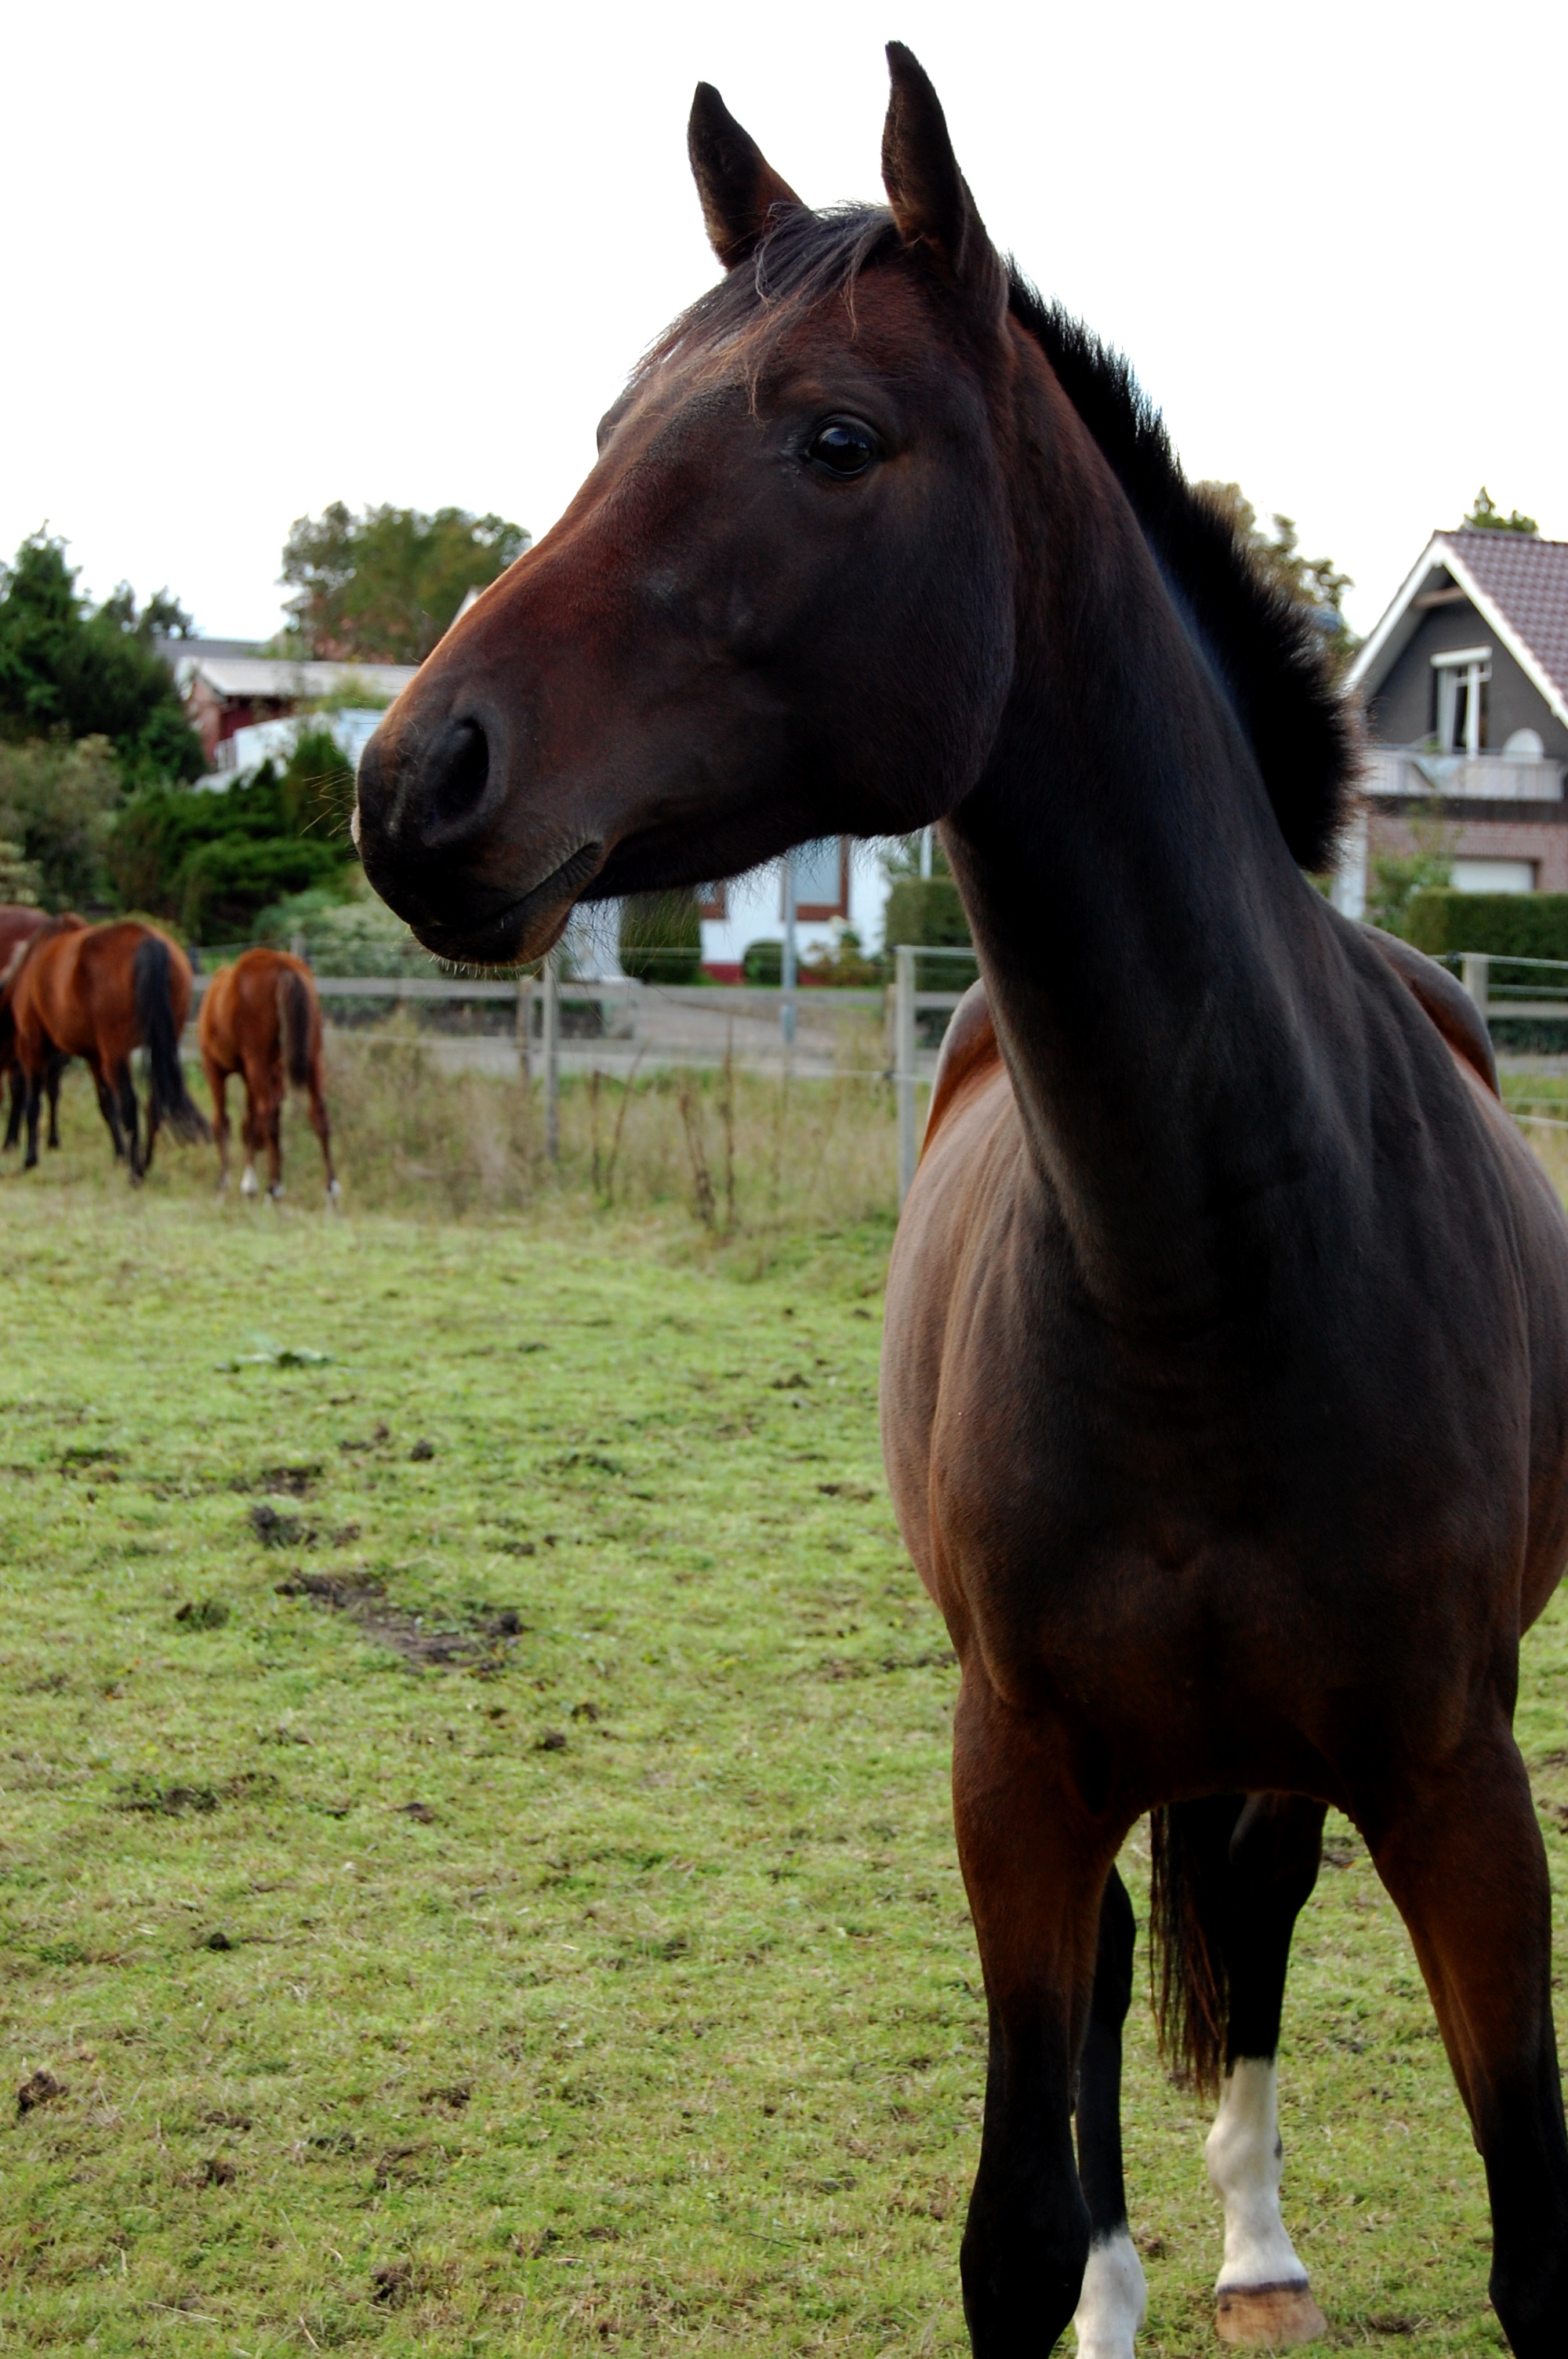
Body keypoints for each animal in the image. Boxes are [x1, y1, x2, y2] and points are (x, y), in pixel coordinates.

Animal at [11, 920, 211, 1180]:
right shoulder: (95, 1056)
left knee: (131, 1103)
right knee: (153, 1105)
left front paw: (30, 1160)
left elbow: (33, 1104)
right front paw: (120, 1154)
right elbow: (107, 1105)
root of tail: (148, 940)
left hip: (116, 1054)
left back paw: (135, 1173)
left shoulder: (32, 1044)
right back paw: (144, 1163)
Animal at [197, 939, 337, 1198]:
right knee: (319, 1113)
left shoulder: (215, 1068)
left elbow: (224, 1122)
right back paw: (331, 1188)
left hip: (256, 1061)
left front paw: (227, 1182)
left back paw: (274, 1187)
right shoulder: (258, 1072)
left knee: (268, 1112)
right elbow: (250, 1121)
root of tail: (282, 965)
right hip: (312, 1056)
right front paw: (249, 1180)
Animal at [351, 55, 1565, 2359]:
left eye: (832, 438)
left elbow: (1527, 2204)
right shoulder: (1012, 1772)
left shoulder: (1459, 1780)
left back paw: (1251, 2237)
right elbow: (1009, 2210)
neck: (1218, 1256)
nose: (415, 783)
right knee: (1120, 1972)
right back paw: (1136, 2274)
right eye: (611, 425)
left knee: (1250, 1906)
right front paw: (1079, 2272)